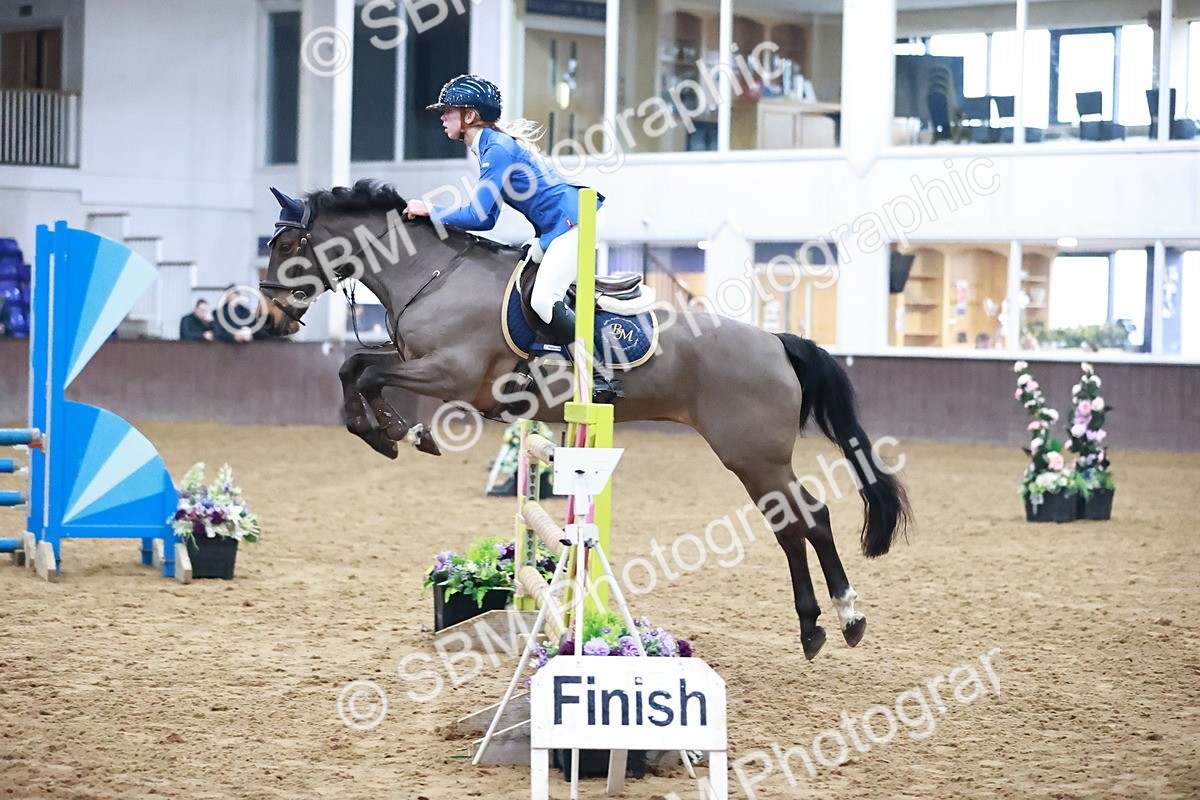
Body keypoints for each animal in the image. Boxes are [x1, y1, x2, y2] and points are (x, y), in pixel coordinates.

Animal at [257, 180, 911, 660]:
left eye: (288, 247)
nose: (272, 316)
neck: (432, 276)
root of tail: (775, 341)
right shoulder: (422, 365)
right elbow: (354, 365)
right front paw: (389, 432)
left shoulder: (452, 375)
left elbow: (365, 373)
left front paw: (395, 434)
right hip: (755, 458)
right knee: (793, 526)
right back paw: (817, 627)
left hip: (753, 455)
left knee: (807, 520)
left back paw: (842, 619)